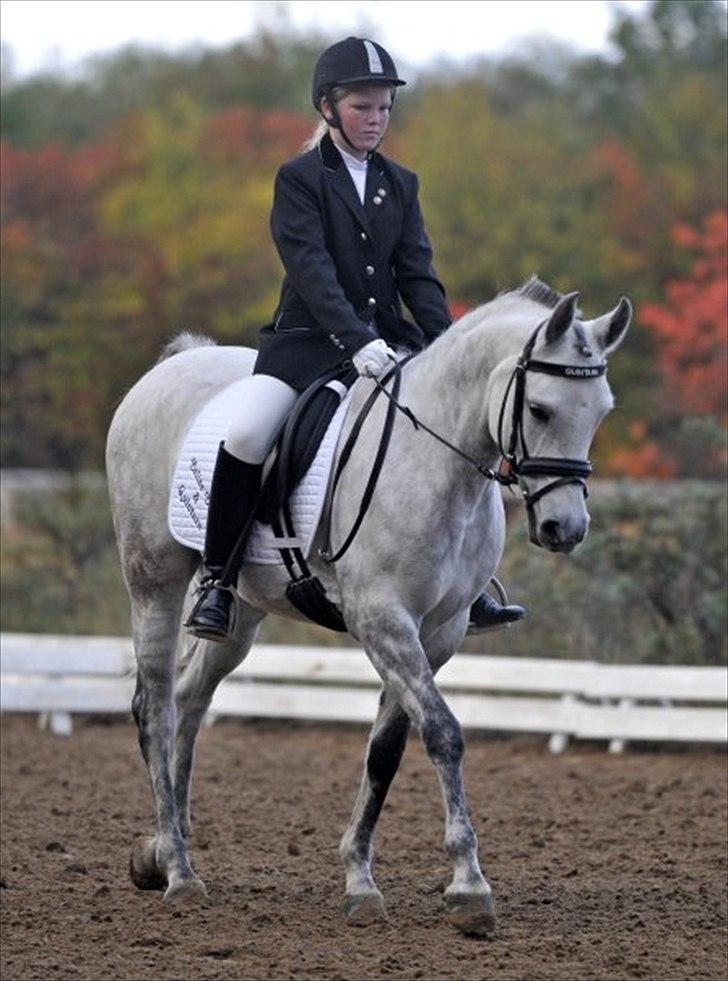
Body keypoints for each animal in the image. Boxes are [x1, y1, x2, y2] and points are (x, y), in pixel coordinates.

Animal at [106, 278, 631, 934]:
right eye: (539, 409)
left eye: (601, 411)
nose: (565, 529)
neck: (437, 463)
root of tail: (173, 366)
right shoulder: (382, 618)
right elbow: (444, 733)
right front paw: (469, 885)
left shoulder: (438, 633)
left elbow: (387, 749)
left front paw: (360, 880)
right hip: (153, 580)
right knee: (156, 709)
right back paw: (179, 872)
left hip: (242, 611)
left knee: (189, 700)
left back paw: (159, 850)